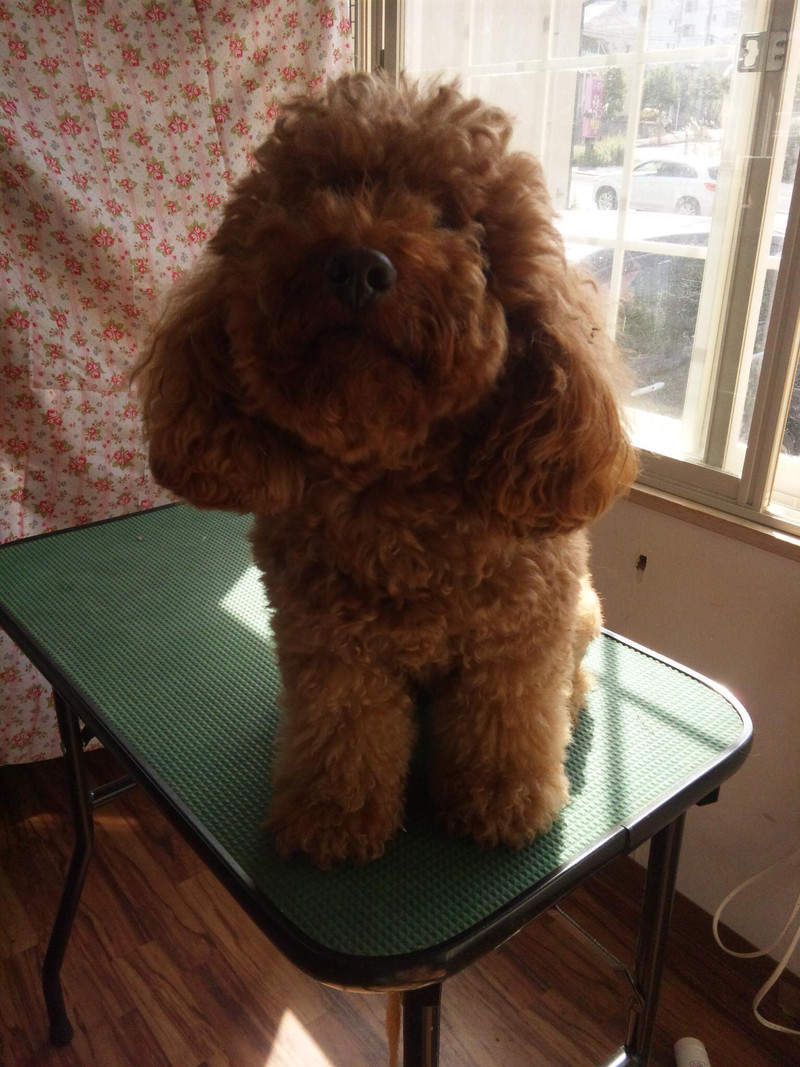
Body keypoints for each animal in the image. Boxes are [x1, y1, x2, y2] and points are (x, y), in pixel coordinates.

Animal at [135, 73, 635, 867]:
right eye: (319, 193)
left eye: (450, 215)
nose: (359, 266)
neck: (396, 487)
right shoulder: (331, 647)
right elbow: (346, 731)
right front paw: (333, 815)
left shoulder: (517, 642)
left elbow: (508, 722)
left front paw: (502, 802)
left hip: (582, 612)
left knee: (568, 676)